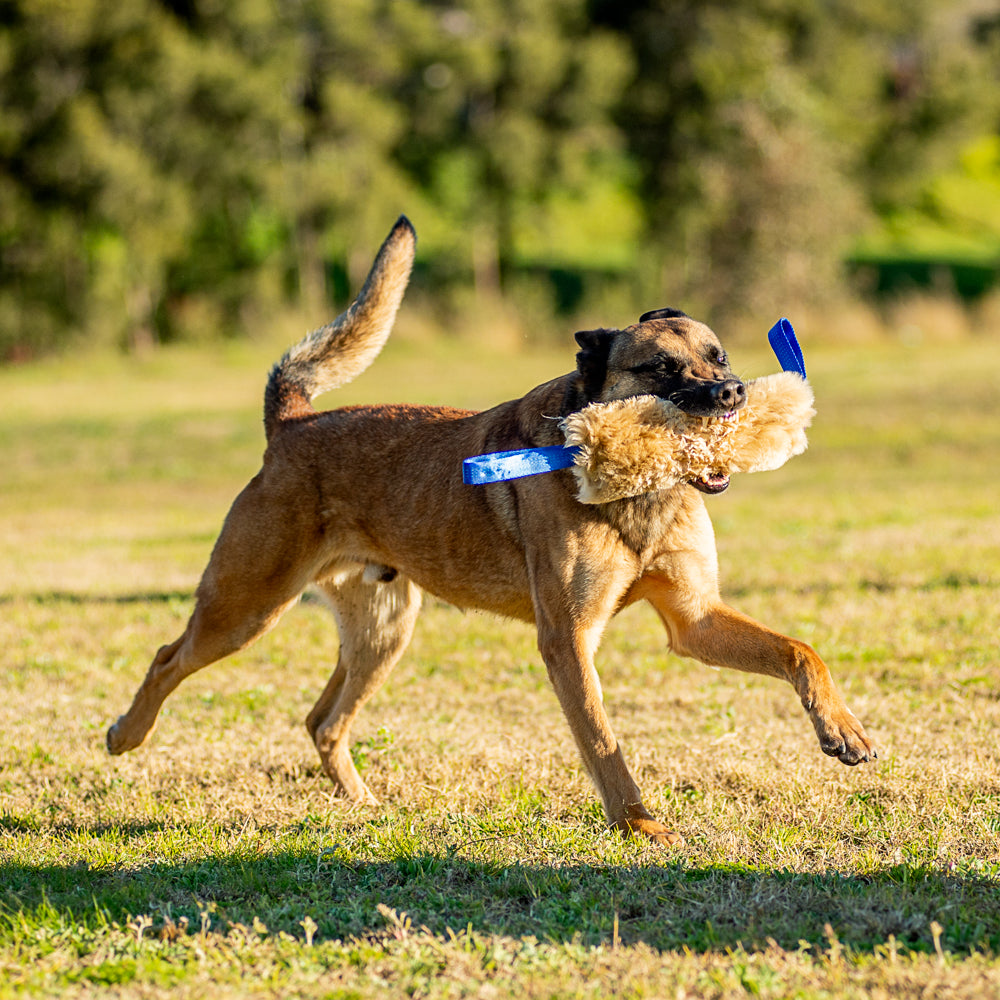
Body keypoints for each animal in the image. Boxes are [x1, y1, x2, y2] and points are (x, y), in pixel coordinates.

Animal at [107, 219, 876, 844]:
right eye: (661, 370)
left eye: (719, 357)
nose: (733, 394)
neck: (629, 489)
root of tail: (291, 423)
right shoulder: (568, 640)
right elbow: (603, 742)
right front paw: (640, 825)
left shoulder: (695, 620)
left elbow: (801, 651)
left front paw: (843, 731)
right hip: (247, 607)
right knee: (168, 658)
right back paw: (125, 735)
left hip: (383, 631)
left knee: (322, 720)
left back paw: (365, 805)